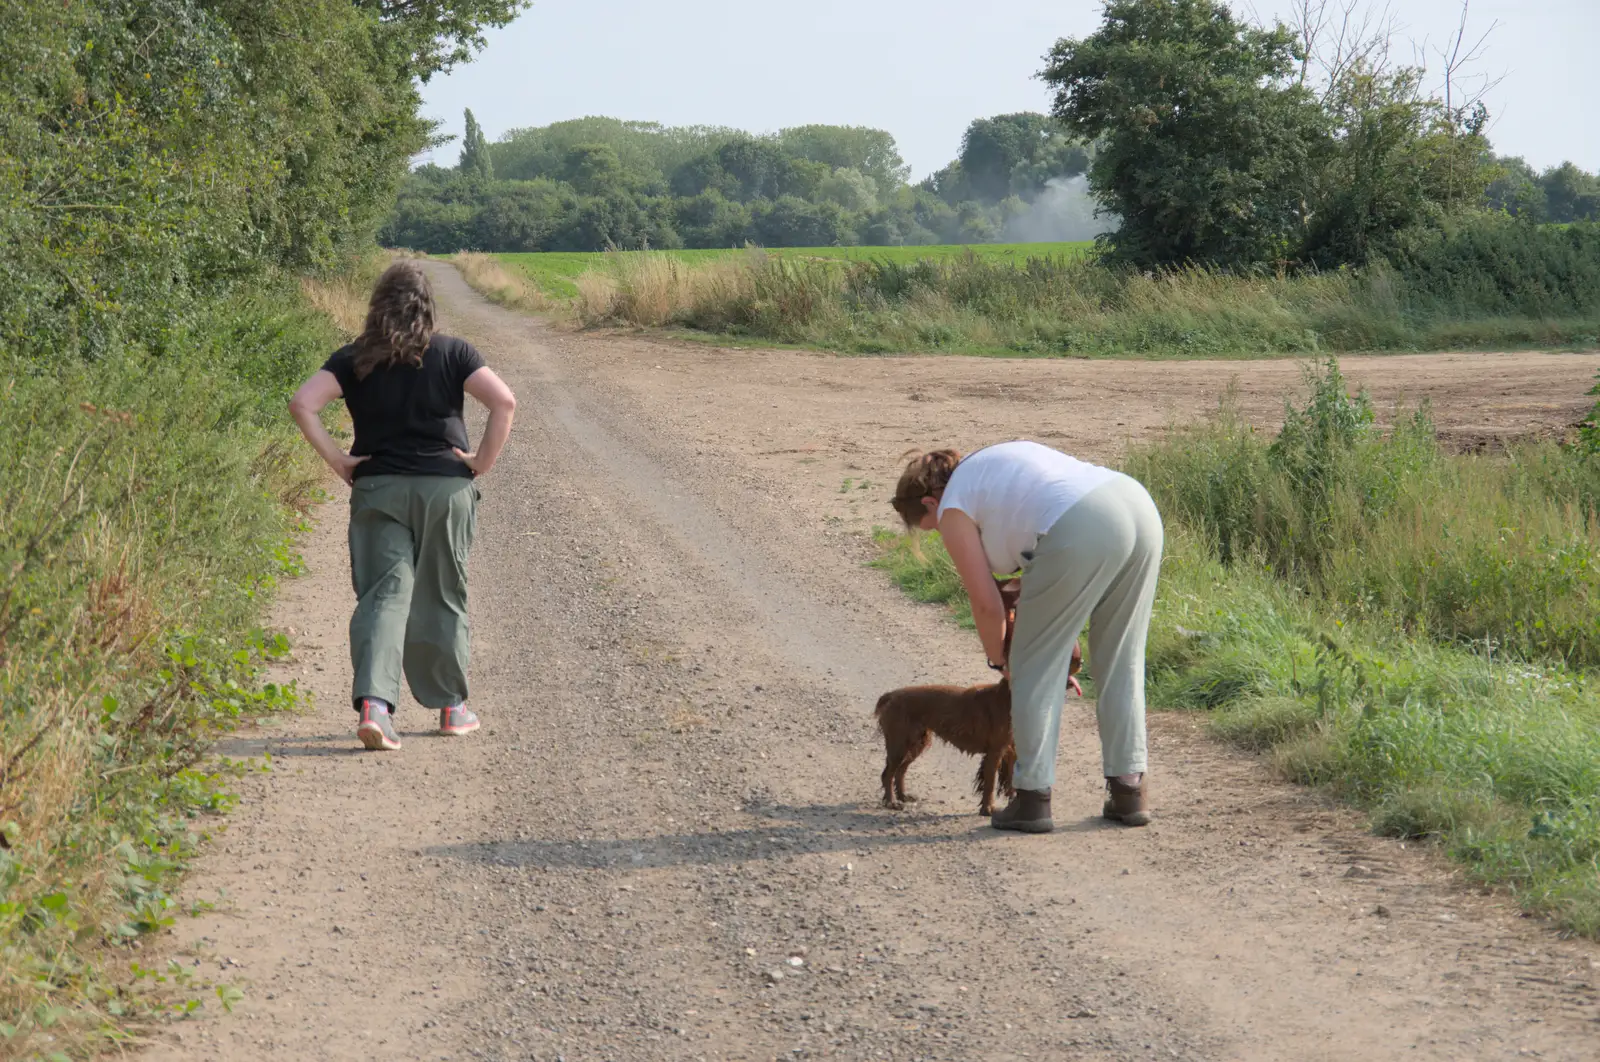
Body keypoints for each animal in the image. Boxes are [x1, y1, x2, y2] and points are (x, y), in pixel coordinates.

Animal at [876, 582, 1088, 812]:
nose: (1082, 661)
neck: (1009, 697)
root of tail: (891, 696)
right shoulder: (996, 750)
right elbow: (990, 782)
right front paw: (988, 809)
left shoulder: (1011, 750)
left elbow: (1010, 781)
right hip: (900, 742)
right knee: (888, 773)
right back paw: (891, 801)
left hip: (917, 742)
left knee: (900, 770)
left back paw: (903, 796)